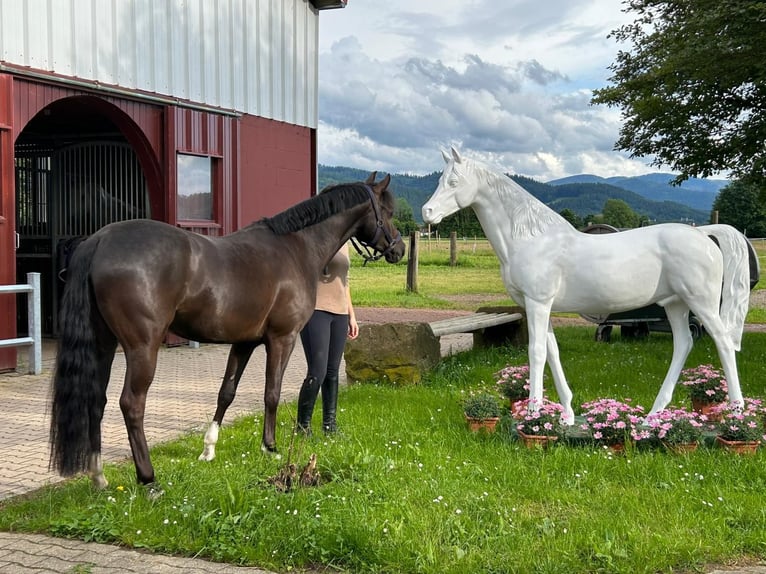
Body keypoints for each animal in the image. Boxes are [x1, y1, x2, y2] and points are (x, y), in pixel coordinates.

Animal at [50, 173, 404, 488]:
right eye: (387, 211)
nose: (398, 249)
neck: (296, 248)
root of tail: (99, 241)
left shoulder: (244, 342)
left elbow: (227, 392)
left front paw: (209, 448)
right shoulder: (282, 339)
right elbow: (272, 393)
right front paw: (270, 447)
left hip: (103, 344)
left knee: (96, 401)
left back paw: (99, 476)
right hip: (142, 347)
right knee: (131, 405)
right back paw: (149, 480)